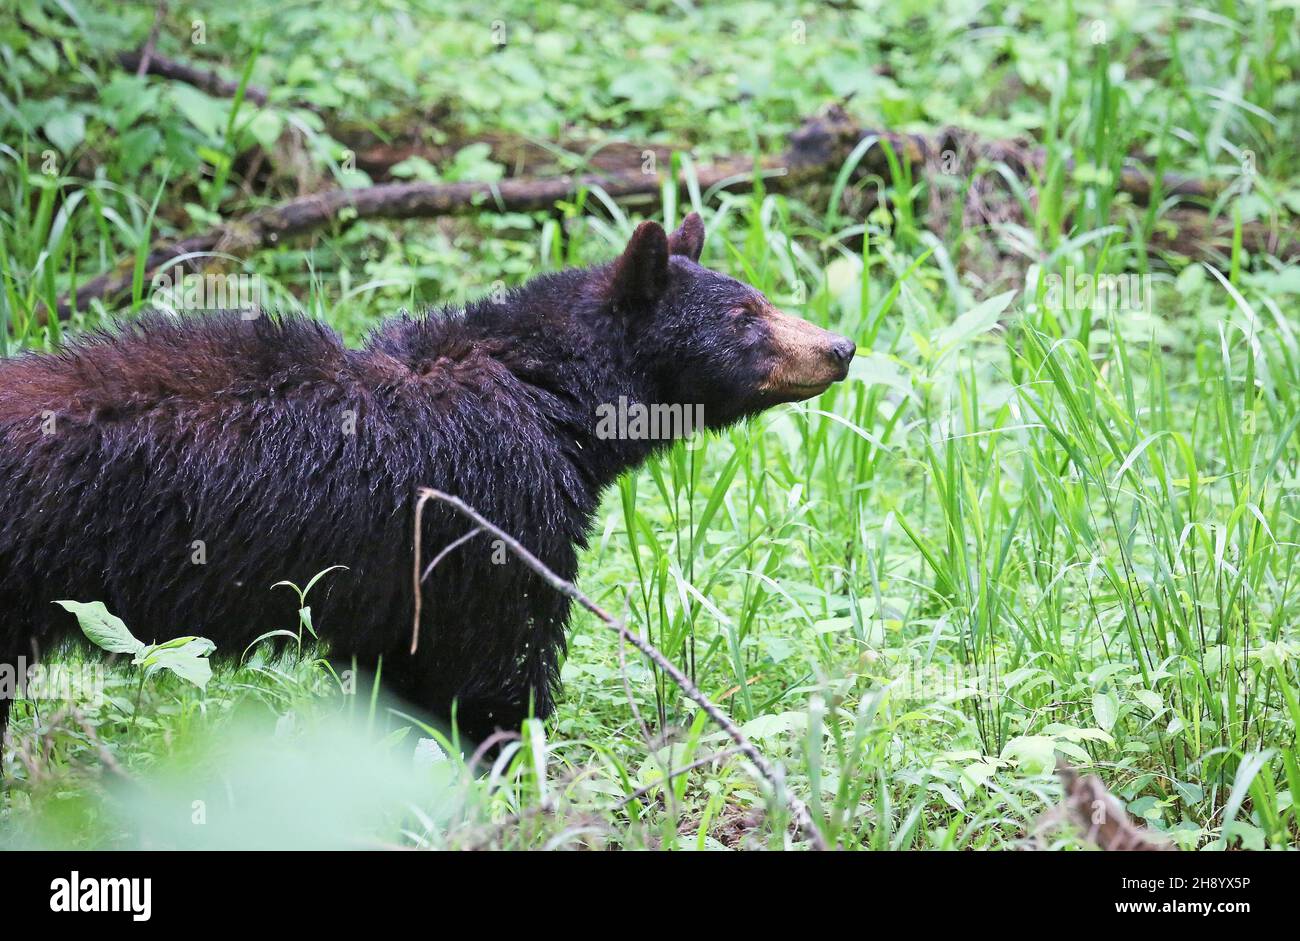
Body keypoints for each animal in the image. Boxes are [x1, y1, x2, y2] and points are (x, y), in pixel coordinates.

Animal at [2, 213, 852, 748]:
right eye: (745, 316)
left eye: (760, 297)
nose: (840, 346)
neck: (546, 392)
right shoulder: (493, 517)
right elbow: (494, 669)